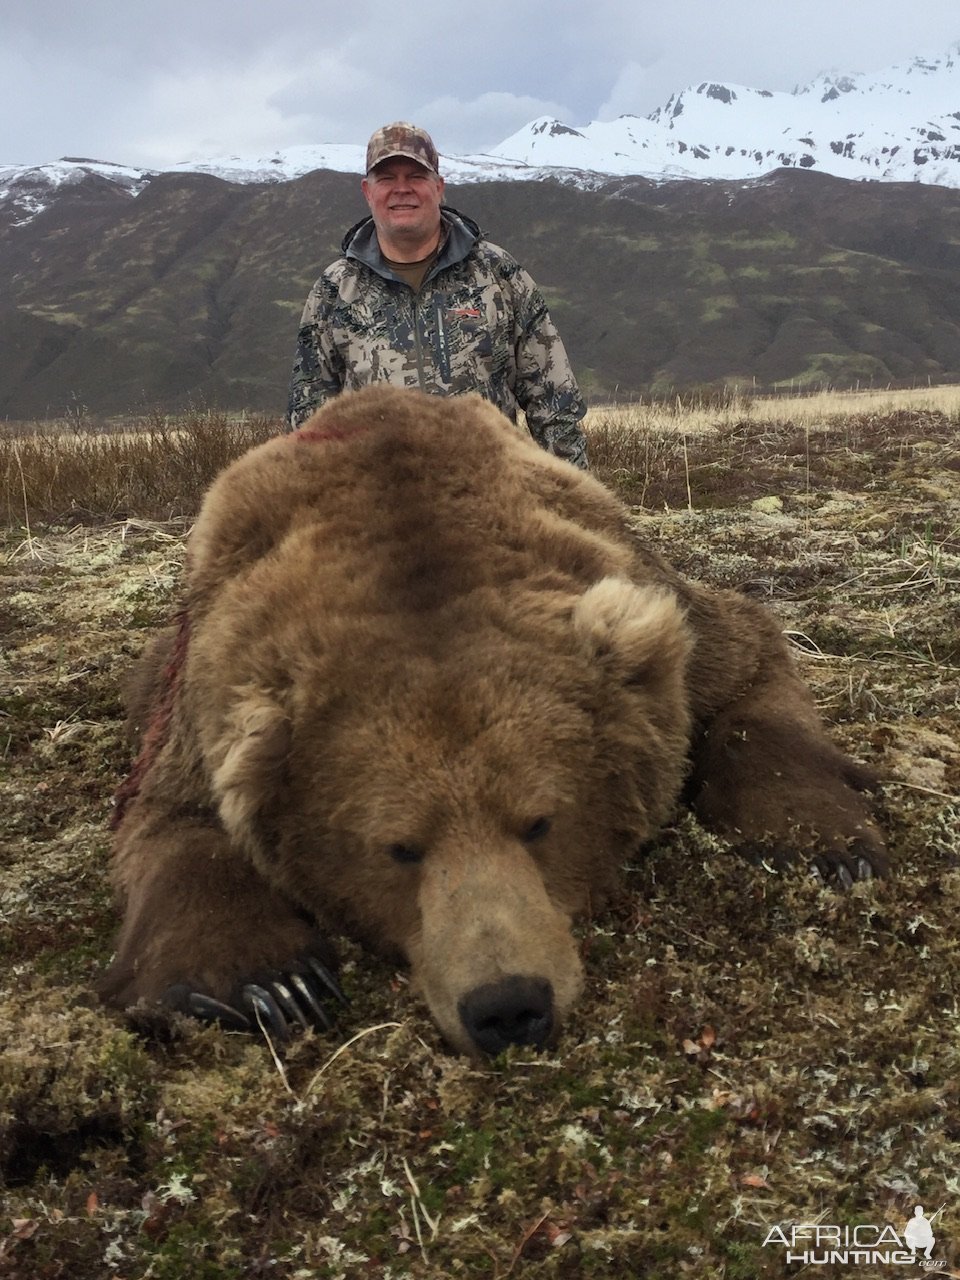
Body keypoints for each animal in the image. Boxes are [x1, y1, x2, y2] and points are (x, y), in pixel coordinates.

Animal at [101, 384, 890, 1054]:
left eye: (539, 822)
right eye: (400, 847)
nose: (507, 1005)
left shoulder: (664, 616)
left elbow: (750, 664)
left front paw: (828, 846)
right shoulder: (206, 694)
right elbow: (172, 818)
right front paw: (270, 983)